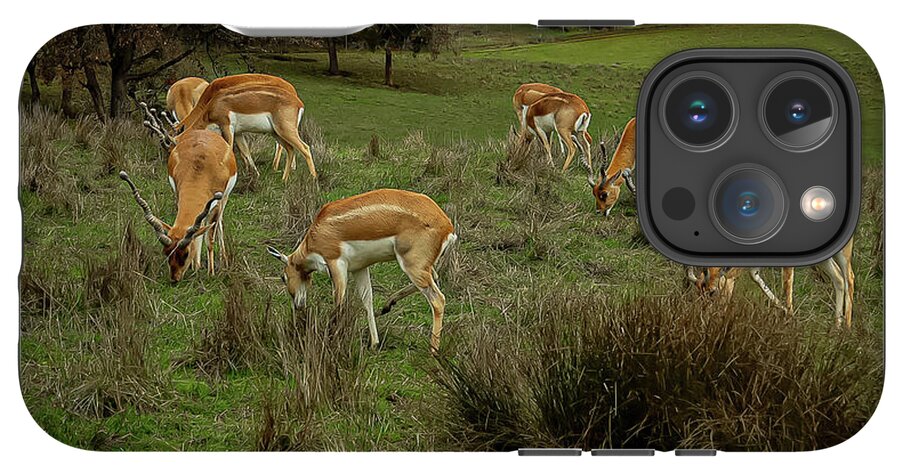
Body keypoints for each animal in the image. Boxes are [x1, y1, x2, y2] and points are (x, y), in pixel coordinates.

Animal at [123, 105, 237, 282]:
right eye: (167, 252)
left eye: (185, 253)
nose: (174, 278)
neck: (201, 169)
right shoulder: (179, 193)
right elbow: (197, 231)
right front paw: (195, 267)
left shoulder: (217, 202)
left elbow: (210, 238)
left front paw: (211, 273)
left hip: (224, 199)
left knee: (218, 224)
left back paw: (223, 258)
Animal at [175, 73, 315, 182]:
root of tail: (298, 102)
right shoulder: (238, 133)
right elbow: (245, 151)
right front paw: (254, 174)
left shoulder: (227, 127)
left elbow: (229, 150)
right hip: (276, 132)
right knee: (290, 149)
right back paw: (284, 178)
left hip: (285, 131)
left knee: (304, 148)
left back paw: (313, 179)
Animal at [266, 189, 457, 353]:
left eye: (283, 277)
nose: (298, 305)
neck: (316, 234)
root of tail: (447, 226)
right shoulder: (360, 268)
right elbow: (367, 300)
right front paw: (374, 343)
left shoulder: (336, 264)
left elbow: (339, 302)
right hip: (421, 267)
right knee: (434, 278)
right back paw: (387, 305)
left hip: (412, 265)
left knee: (438, 299)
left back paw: (433, 350)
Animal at [688, 238, 855, 328]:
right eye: (698, 293)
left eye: (713, 293)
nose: (706, 320)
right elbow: (756, 277)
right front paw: (786, 313)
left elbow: (787, 285)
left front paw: (788, 320)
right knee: (839, 278)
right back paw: (836, 328)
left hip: (843, 251)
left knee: (849, 277)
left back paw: (846, 330)